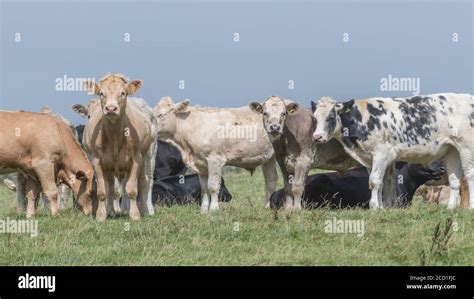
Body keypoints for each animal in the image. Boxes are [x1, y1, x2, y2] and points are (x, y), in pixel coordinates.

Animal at [72, 74, 156, 221]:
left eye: (123, 93)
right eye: (101, 93)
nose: (111, 108)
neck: (115, 136)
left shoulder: (136, 159)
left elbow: (132, 189)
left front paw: (135, 215)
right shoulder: (97, 161)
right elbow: (103, 190)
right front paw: (101, 215)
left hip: (149, 154)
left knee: (145, 181)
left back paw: (146, 210)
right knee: (111, 185)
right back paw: (111, 210)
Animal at [312, 94, 474, 211]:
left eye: (331, 117)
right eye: (315, 118)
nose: (317, 137)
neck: (362, 119)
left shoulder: (382, 154)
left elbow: (374, 181)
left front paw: (374, 207)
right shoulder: (372, 158)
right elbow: (381, 182)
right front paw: (383, 206)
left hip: (467, 148)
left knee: (469, 176)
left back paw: (470, 207)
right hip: (453, 150)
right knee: (454, 180)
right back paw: (451, 208)